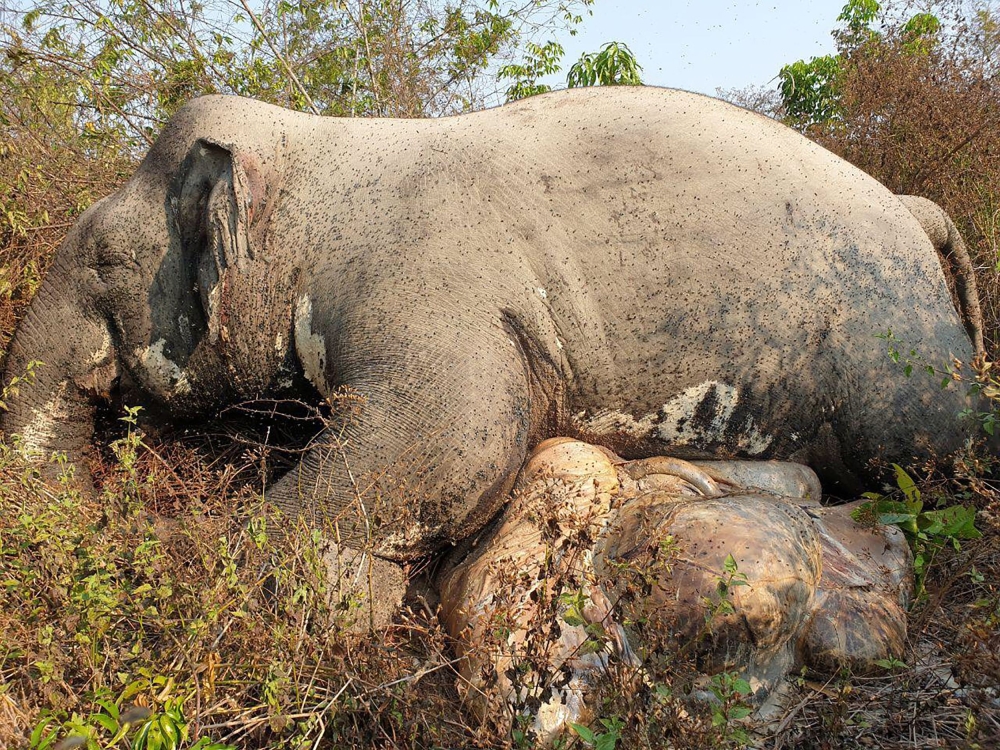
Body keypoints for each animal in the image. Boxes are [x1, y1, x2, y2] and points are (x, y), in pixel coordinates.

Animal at [0, 86, 987, 563]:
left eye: (102, 261)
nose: (102, 521)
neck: (321, 157)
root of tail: (913, 205)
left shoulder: (432, 286)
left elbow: (456, 441)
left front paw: (187, 551)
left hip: (895, 349)